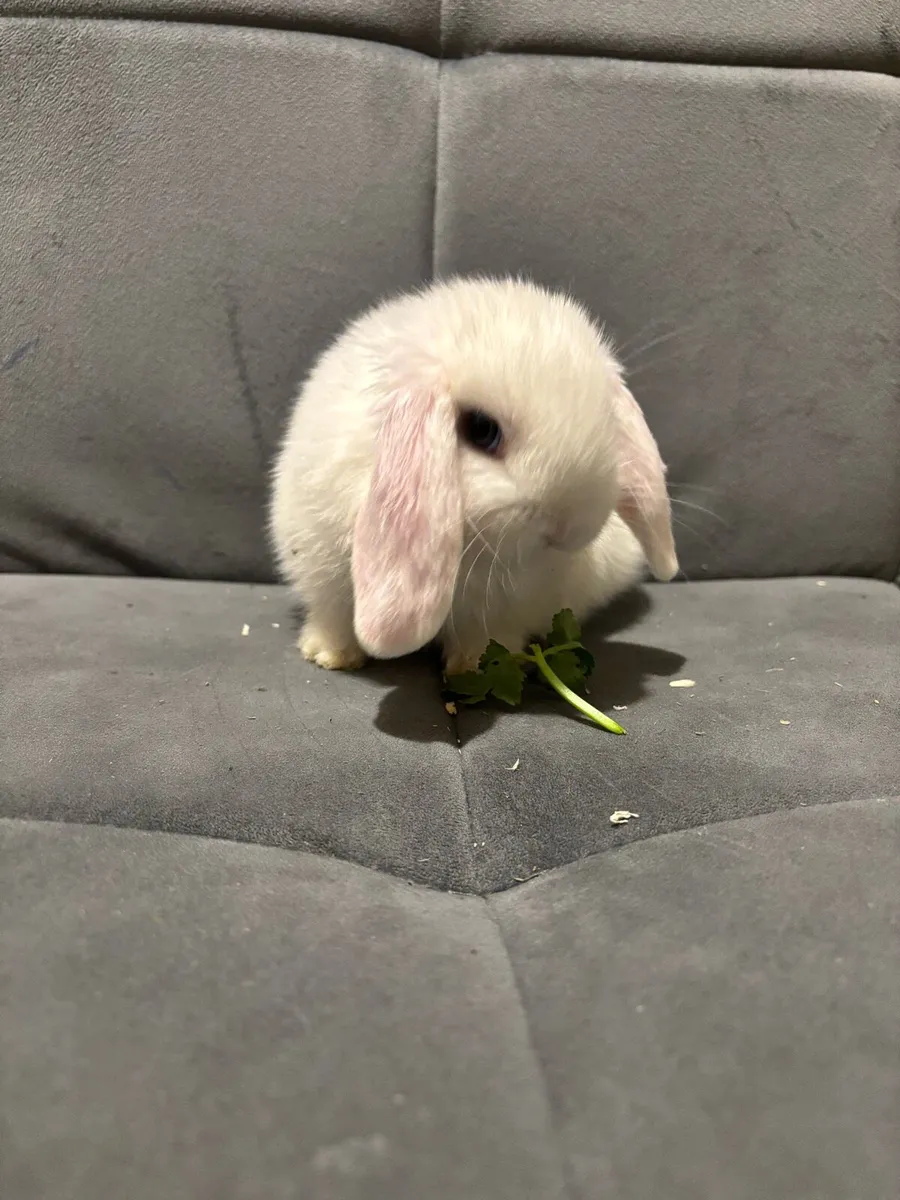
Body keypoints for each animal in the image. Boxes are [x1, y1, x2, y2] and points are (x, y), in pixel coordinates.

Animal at [269, 276, 678, 675]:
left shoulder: (504, 609)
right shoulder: (324, 578)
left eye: (608, 423)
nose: (569, 529)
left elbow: (486, 636)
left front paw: (475, 667)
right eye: (482, 429)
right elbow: (333, 619)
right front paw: (330, 656)